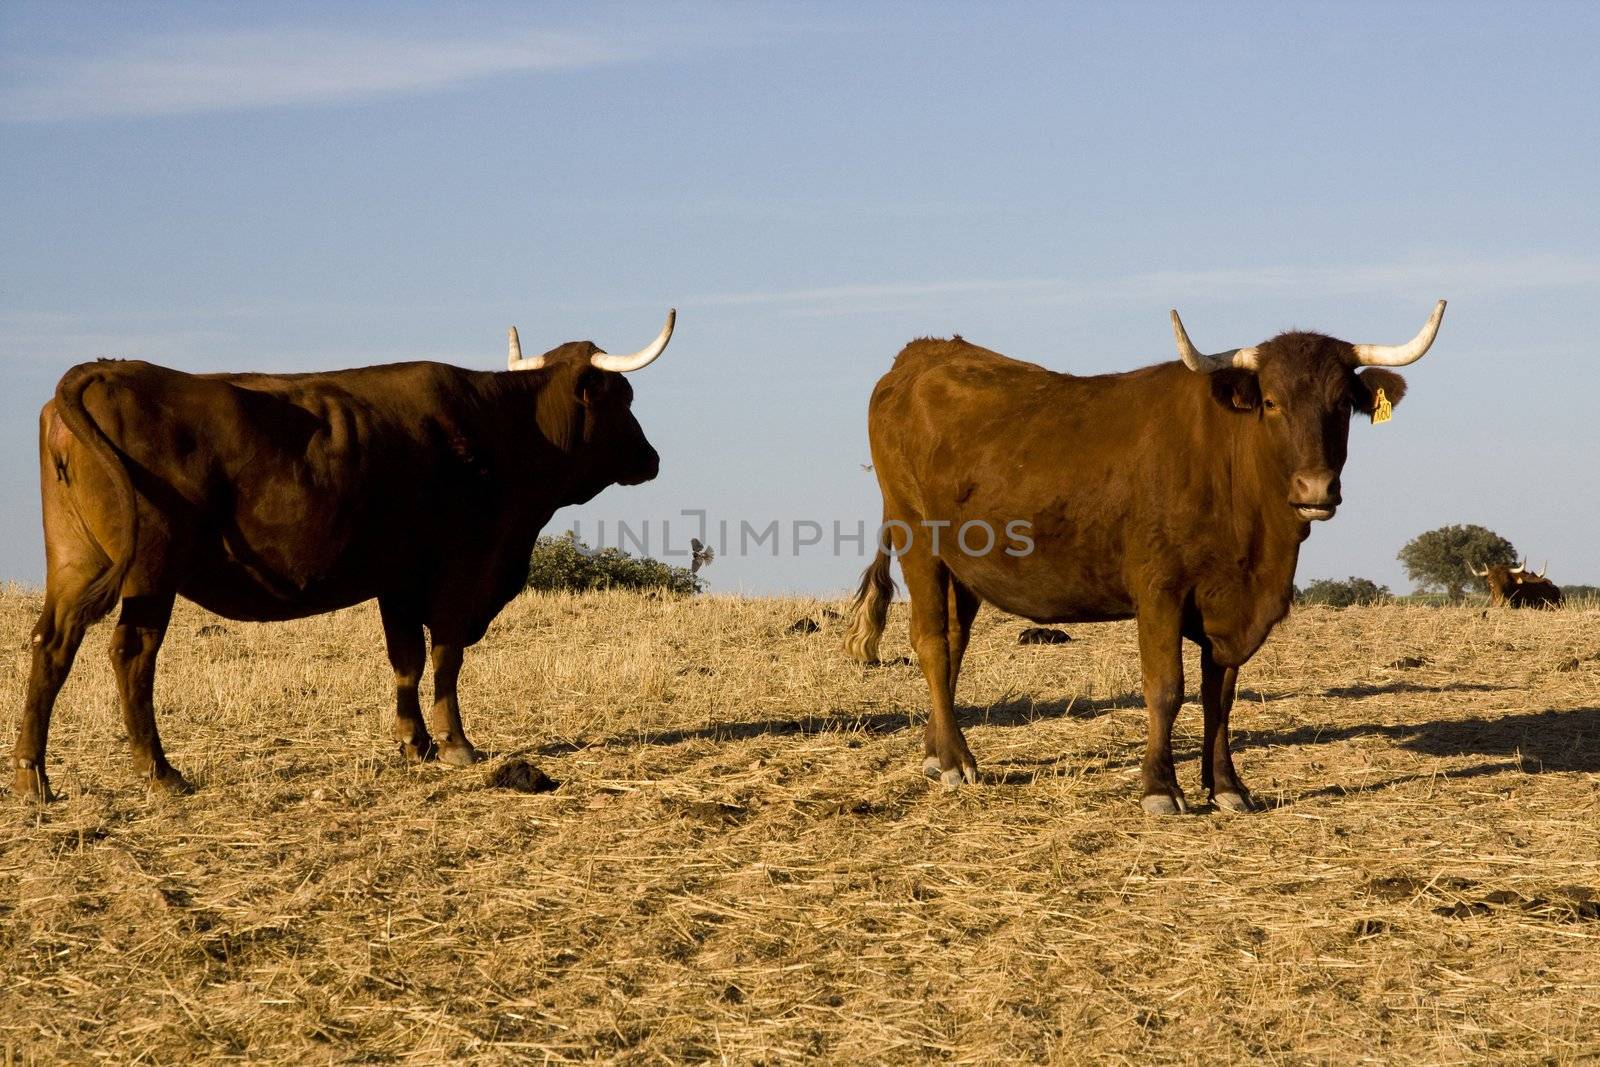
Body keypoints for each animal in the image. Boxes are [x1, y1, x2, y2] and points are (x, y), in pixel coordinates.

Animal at [12, 313, 675, 796]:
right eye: (623, 397)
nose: (652, 458)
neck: (499, 428)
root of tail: (108, 372)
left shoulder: (398, 577)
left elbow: (406, 660)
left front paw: (415, 743)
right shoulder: (458, 566)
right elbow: (447, 655)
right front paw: (455, 744)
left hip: (74, 563)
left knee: (53, 645)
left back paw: (33, 779)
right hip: (150, 571)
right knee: (132, 654)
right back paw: (159, 772)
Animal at [844, 303, 1446, 812]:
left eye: (1342, 405)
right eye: (1272, 402)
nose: (1315, 489)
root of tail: (919, 355)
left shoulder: (1230, 606)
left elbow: (1220, 698)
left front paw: (1227, 787)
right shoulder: (1160, 590)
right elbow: (1166, 688)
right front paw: (1161, 787)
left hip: (963, 566)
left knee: (953, 642)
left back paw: (934, 751)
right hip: (916, 537)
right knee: (931, 642)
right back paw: (954, 761)